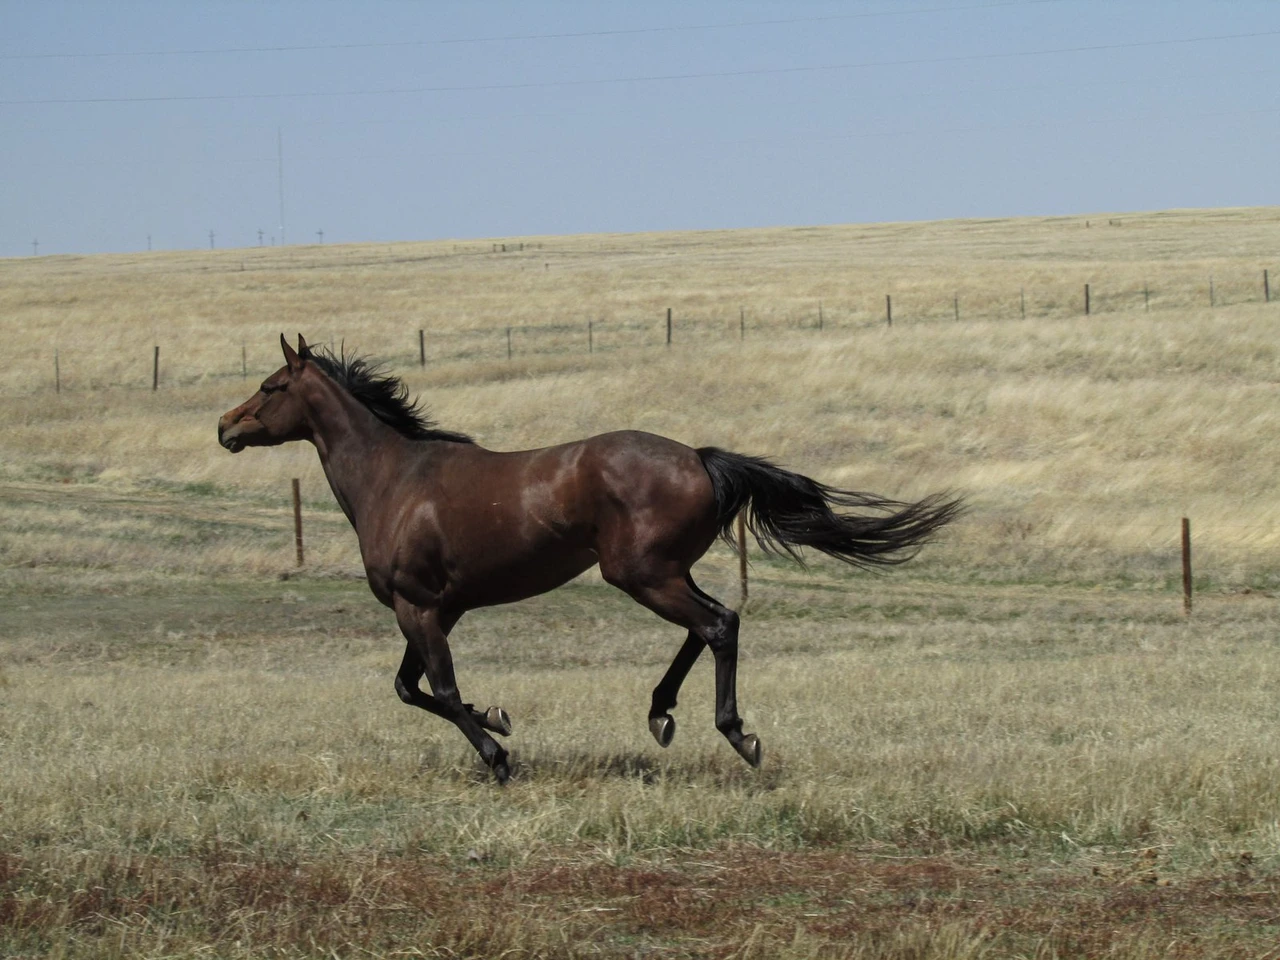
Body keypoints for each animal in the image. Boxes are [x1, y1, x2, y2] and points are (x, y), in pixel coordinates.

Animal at [218, 335, 962, 783]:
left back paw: (737, 735)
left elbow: (443, 690)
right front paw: (499, 718)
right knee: (711, 623)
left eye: (271, 385)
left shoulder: (419, 606)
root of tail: (699, 458)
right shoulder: (437, 608)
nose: (224, 426)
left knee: (718, 624)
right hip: (661, 571)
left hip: (641, 575)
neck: (394, 479)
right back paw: (662, 713)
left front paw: (498, 755)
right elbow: (411, 688)